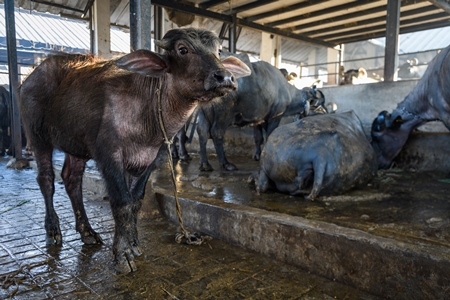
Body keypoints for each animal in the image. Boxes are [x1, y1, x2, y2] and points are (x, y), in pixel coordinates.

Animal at [19, 28, 251, 274]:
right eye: (182, 49)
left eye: (218, 50)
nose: (225, 77)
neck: (147, 115)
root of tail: (30, 77)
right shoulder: (109, 156)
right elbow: (121, 202)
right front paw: (122, 255)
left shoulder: (148, 158)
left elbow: (135, 201)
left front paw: (133, 244)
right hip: (37, 136)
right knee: (46, 179)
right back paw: (53, 230)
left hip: (76, 145)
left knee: (72, 181)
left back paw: (87, 231)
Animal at [195, 52, 326, 171]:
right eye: (318, 105)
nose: (326, 112)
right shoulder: (275, 117)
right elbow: (269, 135)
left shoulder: (258, 119)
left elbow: (258, 137)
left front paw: (257, 155)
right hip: (223, 115)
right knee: (217, 133)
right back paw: (226, 163)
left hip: (202, 113)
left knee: (202, 133)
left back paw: (205, 164)